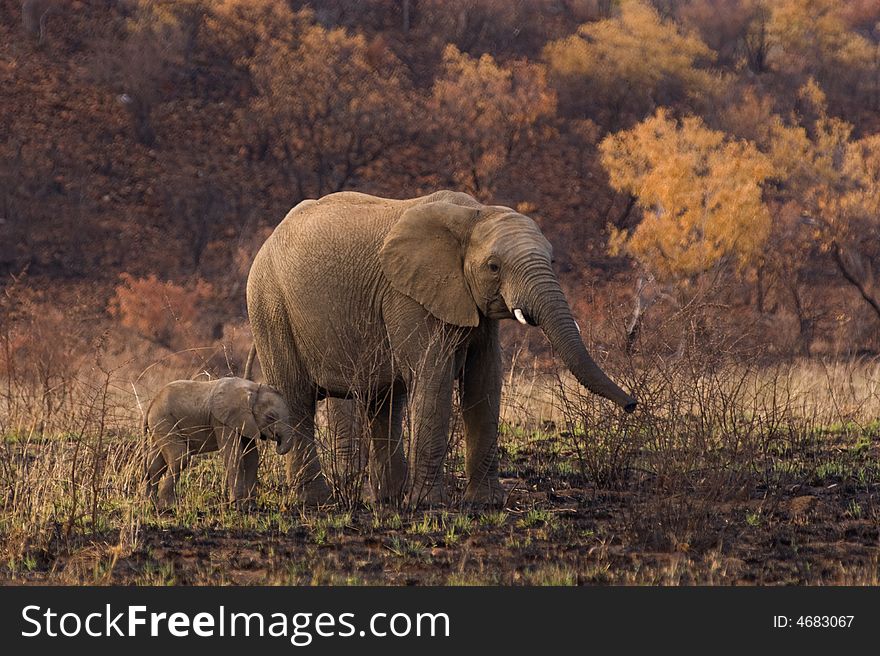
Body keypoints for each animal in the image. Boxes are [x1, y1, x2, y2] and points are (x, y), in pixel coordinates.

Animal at [144, 376, 294, 510]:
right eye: (270, 417)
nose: (278, 441)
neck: (253, 388)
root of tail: (152, 403)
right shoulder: (222, 420)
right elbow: (234, 455)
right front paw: (237, 506)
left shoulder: (247, 421)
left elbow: (251, 458)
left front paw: (251, 507)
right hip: (164, 420)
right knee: (179, 456)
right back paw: (167, 506)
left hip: (159, 423)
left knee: (156, 463)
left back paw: (150, 502)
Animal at [244, 190, 636, 508]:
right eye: (494, 267)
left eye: (552, 262)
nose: (631, 405)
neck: (473, 214)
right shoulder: (407, 295)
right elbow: (433, 376)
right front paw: (429, 505)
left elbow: (484, 381)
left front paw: (487, 503)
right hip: (269, 305)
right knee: (296, 397)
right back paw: (317, 502)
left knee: (383, 401)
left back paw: (387, 499)